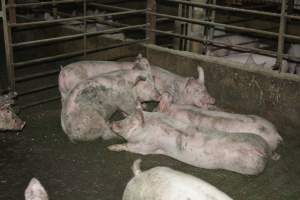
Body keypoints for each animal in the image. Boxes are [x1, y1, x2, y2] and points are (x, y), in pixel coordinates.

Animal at [108, 109, 270, 175]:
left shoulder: (147, 146)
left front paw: (111, 148)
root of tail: (262, 150)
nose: (113, 123)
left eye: (130, 123)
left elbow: (131, 147)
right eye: (126, 117)